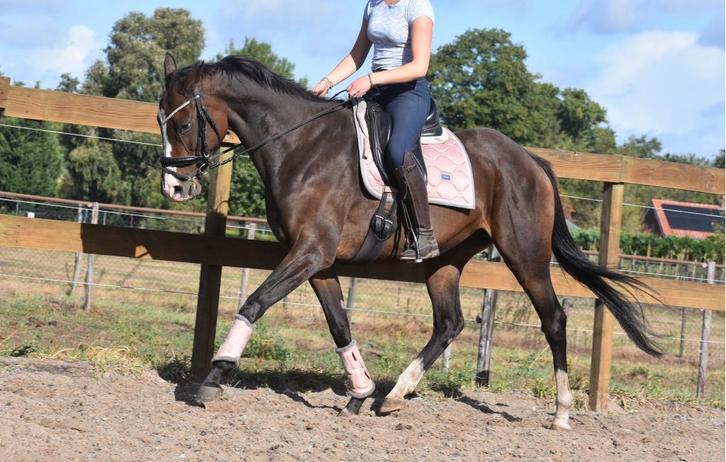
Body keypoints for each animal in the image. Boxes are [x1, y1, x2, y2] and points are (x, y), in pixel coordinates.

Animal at [157, 53, 660, 430]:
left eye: (181, 125)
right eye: (160, 120)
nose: (174, 187)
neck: (303, 147)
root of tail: (530, 160)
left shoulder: (309, 253)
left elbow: (255, 303)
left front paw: (215, 376)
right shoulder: (317, 260)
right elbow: (339, 324)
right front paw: (360, 392)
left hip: (525, 255)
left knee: (552, 318)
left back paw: (561, 414)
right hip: (445, 259)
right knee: (449, 322)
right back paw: (395, 395)